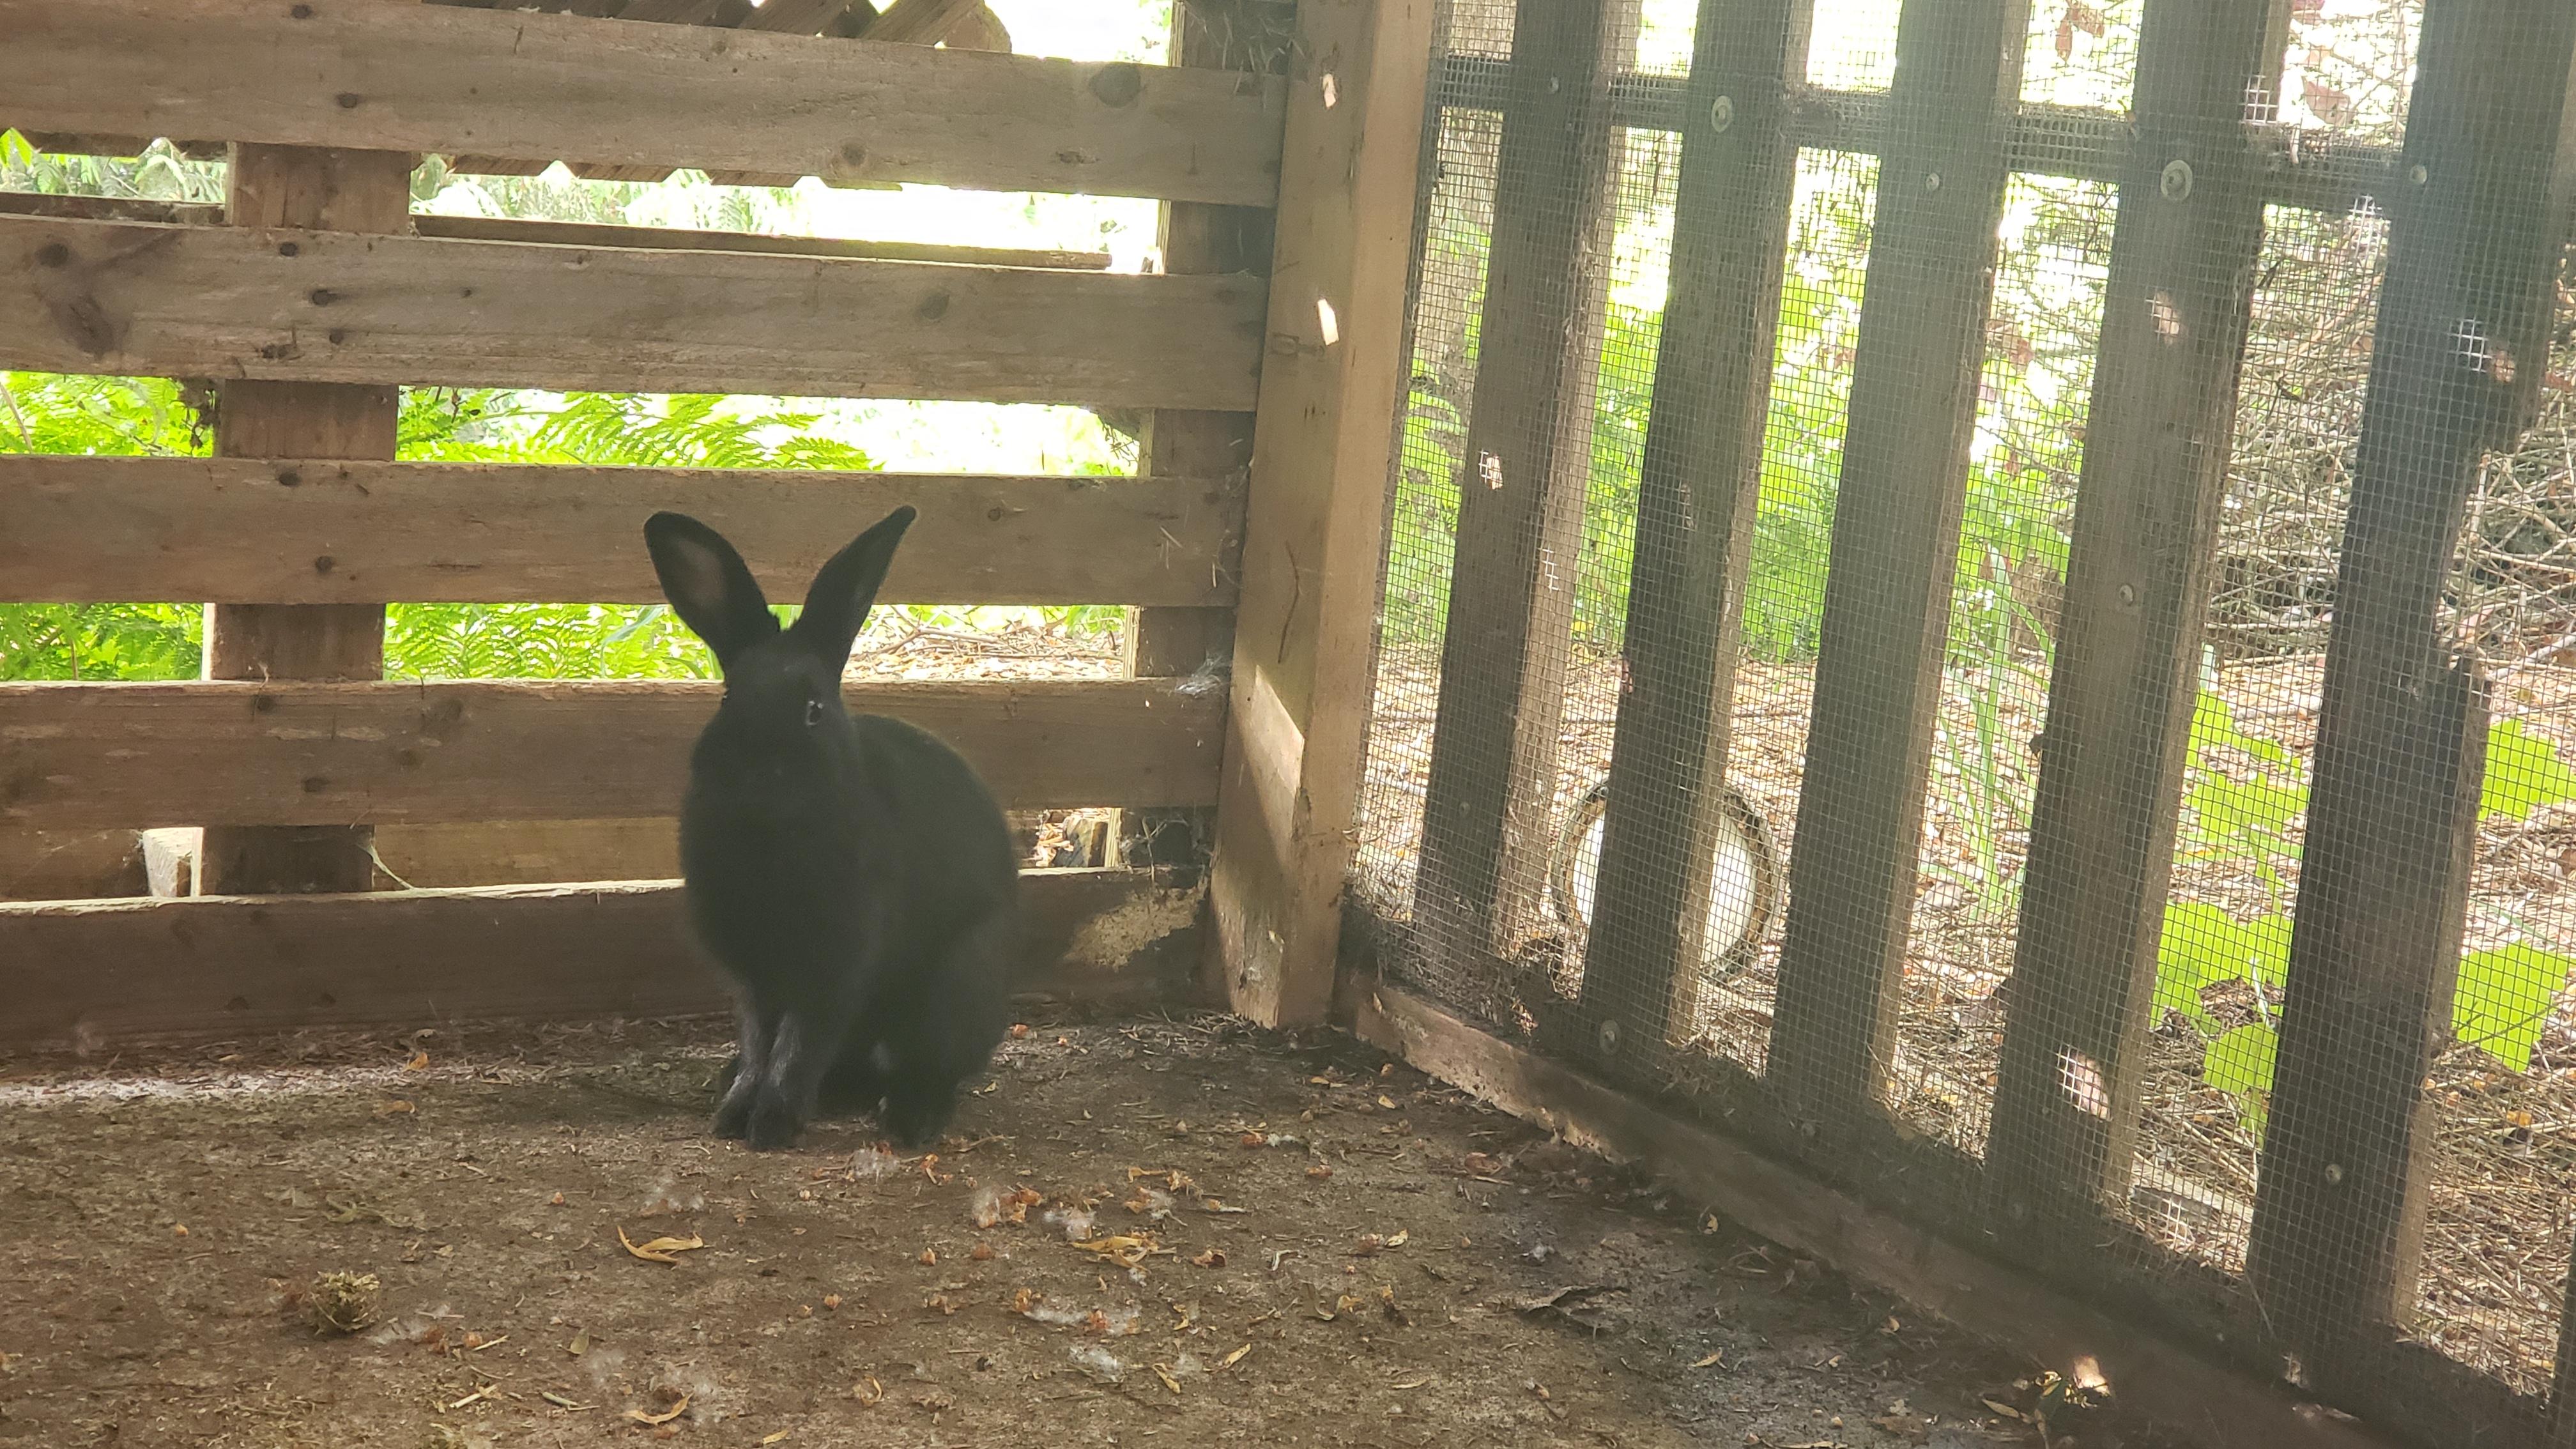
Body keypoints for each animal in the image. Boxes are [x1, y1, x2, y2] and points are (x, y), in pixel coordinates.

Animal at [644, 505, 1020, 1152]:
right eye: (726, 699)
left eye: (814, 710)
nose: (754, 775)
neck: (768, 837)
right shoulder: (754, 979)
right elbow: (759, 1043)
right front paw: (735, 1112)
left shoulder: (834, 966)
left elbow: (799, 1044)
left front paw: (771, 1123)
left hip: (960, 982)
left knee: (935, 1065)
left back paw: (910, 1118)